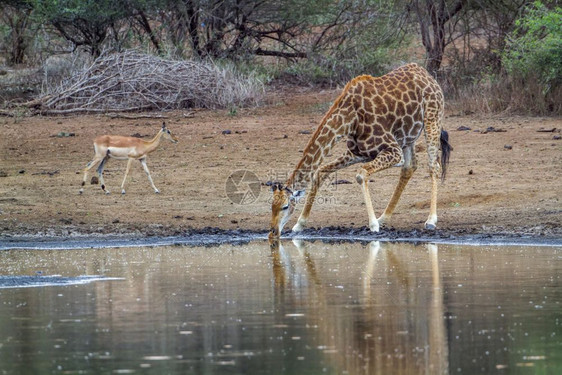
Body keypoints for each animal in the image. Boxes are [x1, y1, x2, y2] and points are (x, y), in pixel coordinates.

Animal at [268, 61, 450, 238]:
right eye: (271, 206)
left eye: (285, 206)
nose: (273, 231)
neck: (350, 118)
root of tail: (426, 74)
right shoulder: (358, 153)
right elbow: (320, 171)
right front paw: (299, 224)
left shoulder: (393, 151)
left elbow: (361, 174)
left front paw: (373, 225)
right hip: (408, 136)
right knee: (410, 166)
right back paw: (384, 217)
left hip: (432, 119)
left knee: (433, 165)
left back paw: (430, 220)